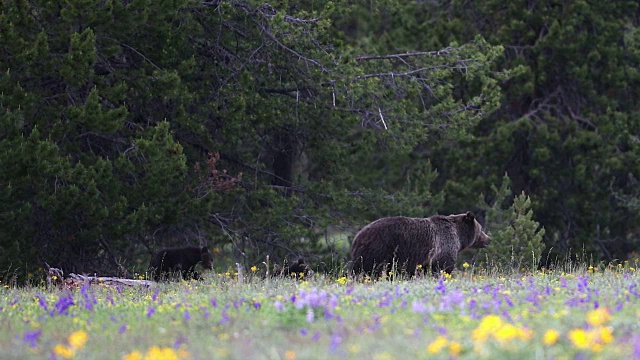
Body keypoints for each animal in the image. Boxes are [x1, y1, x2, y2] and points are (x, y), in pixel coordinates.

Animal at [350, 212, 490, 278]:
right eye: (481, 229)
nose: (488, 239)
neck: (459, 236)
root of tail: (358, 236)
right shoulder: (444, 245)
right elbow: (443, 266)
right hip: (379, 248)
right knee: (368, 268)